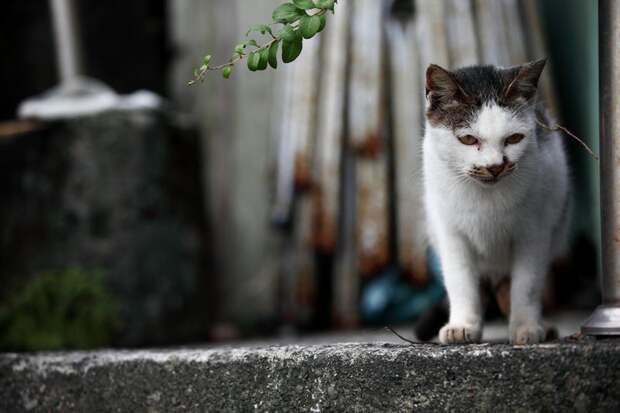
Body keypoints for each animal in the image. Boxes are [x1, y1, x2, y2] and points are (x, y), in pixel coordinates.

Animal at [422, 59, 572, 342]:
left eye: (514, 138)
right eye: (468, 139)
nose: (494, 167)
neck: (486, 198)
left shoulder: (534, 233)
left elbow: (526, 283)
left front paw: (526, 326)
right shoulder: (451, 234)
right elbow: (460, 280)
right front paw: (463, 325)